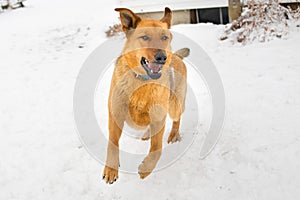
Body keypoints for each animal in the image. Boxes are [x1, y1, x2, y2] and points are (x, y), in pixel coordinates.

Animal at [102, 7, 189, 184]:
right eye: (145, 37)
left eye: (164, 37)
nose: (162, 57)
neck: (141, 81)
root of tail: (177, 56)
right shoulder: (115, 116)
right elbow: (112, 144)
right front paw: (111, 169)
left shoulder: (159, 117)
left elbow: (157, 148)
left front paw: (146, 168)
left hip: (174, 106)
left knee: (176, 119)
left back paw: (173, 135)